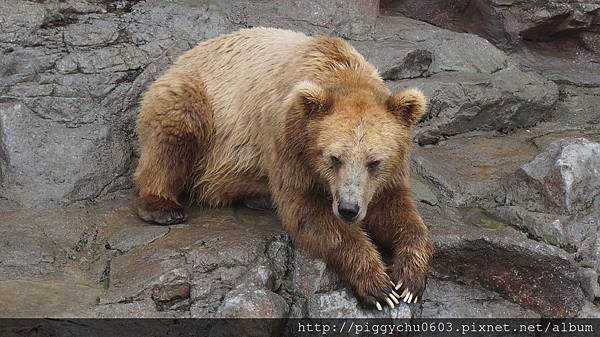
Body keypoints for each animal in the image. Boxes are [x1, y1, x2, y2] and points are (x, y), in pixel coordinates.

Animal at [132, 27, 432, 308]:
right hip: (199, 101)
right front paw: (378, 286)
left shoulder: (385, 174)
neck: (340, 72)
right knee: (175, 128)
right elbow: (308, 211)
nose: (348, 208)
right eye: (334, 158)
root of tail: (181, 59)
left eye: (374, 162)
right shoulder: (288, 139)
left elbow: (398, 211)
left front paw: (408, 278)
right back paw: (163, 206)